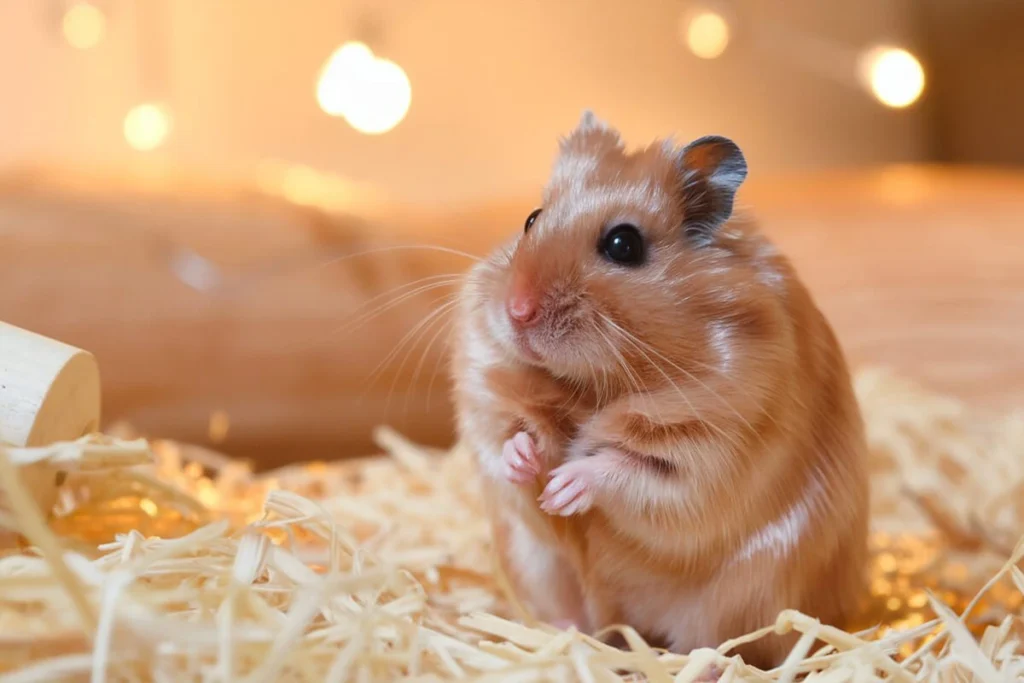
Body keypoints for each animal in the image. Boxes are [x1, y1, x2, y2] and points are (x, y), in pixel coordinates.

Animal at [448, 111, 864, 667]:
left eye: (623, 244)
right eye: (532, 219)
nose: (516, 311)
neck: (595, 385)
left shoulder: (709, 445)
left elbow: (628, 468)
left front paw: (563, 488)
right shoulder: (485, 396)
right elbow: (505, 440)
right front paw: (528, 462)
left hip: (743, 596)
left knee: (722, 648)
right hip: (540, 566)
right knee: (574, 615)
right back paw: (560, 638)